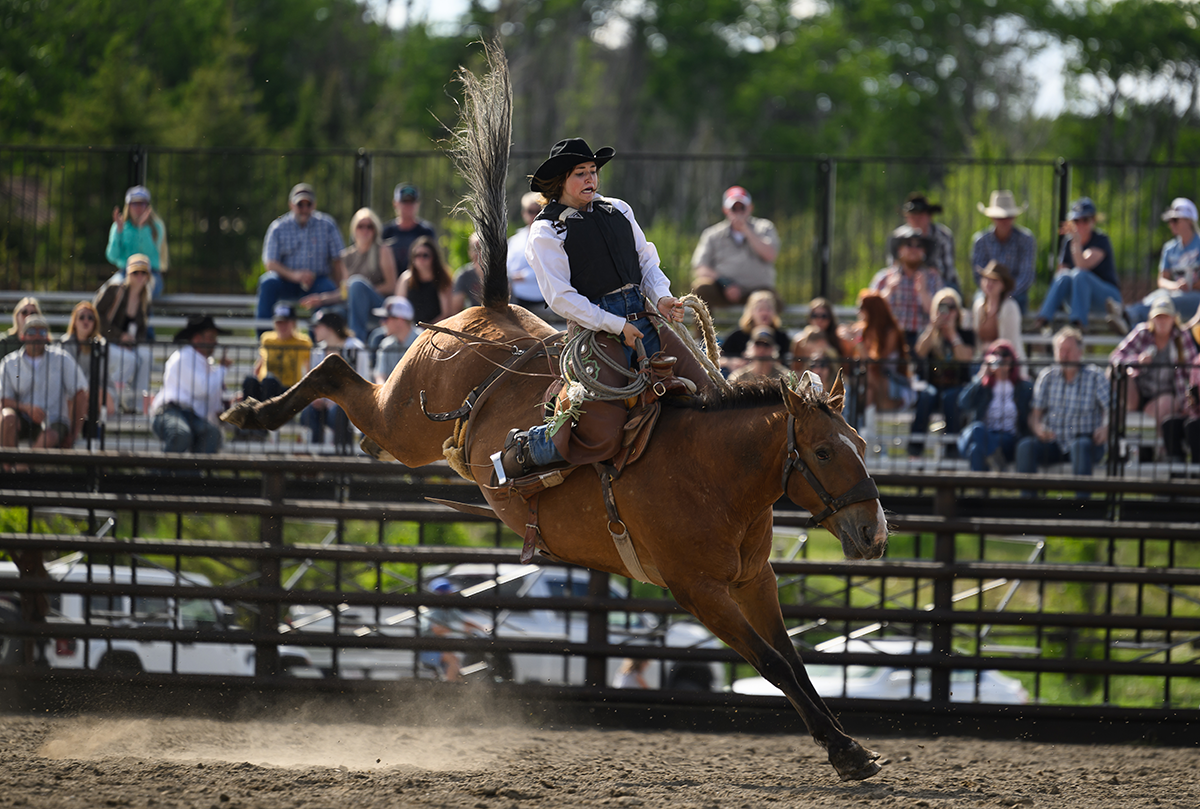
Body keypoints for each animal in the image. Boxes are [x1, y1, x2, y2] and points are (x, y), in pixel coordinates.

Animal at [221, 40, 889, 782]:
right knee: (337, 369)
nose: (874, 534)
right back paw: (252, 414)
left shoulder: (756, 582)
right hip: (405, 421)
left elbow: (796, 664)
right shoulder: (698, 591)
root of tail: (488, 303)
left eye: (861, 442)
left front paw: (850, 747)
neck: (714, 476)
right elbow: (772, 665)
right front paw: (842, 749)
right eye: (824, 449)